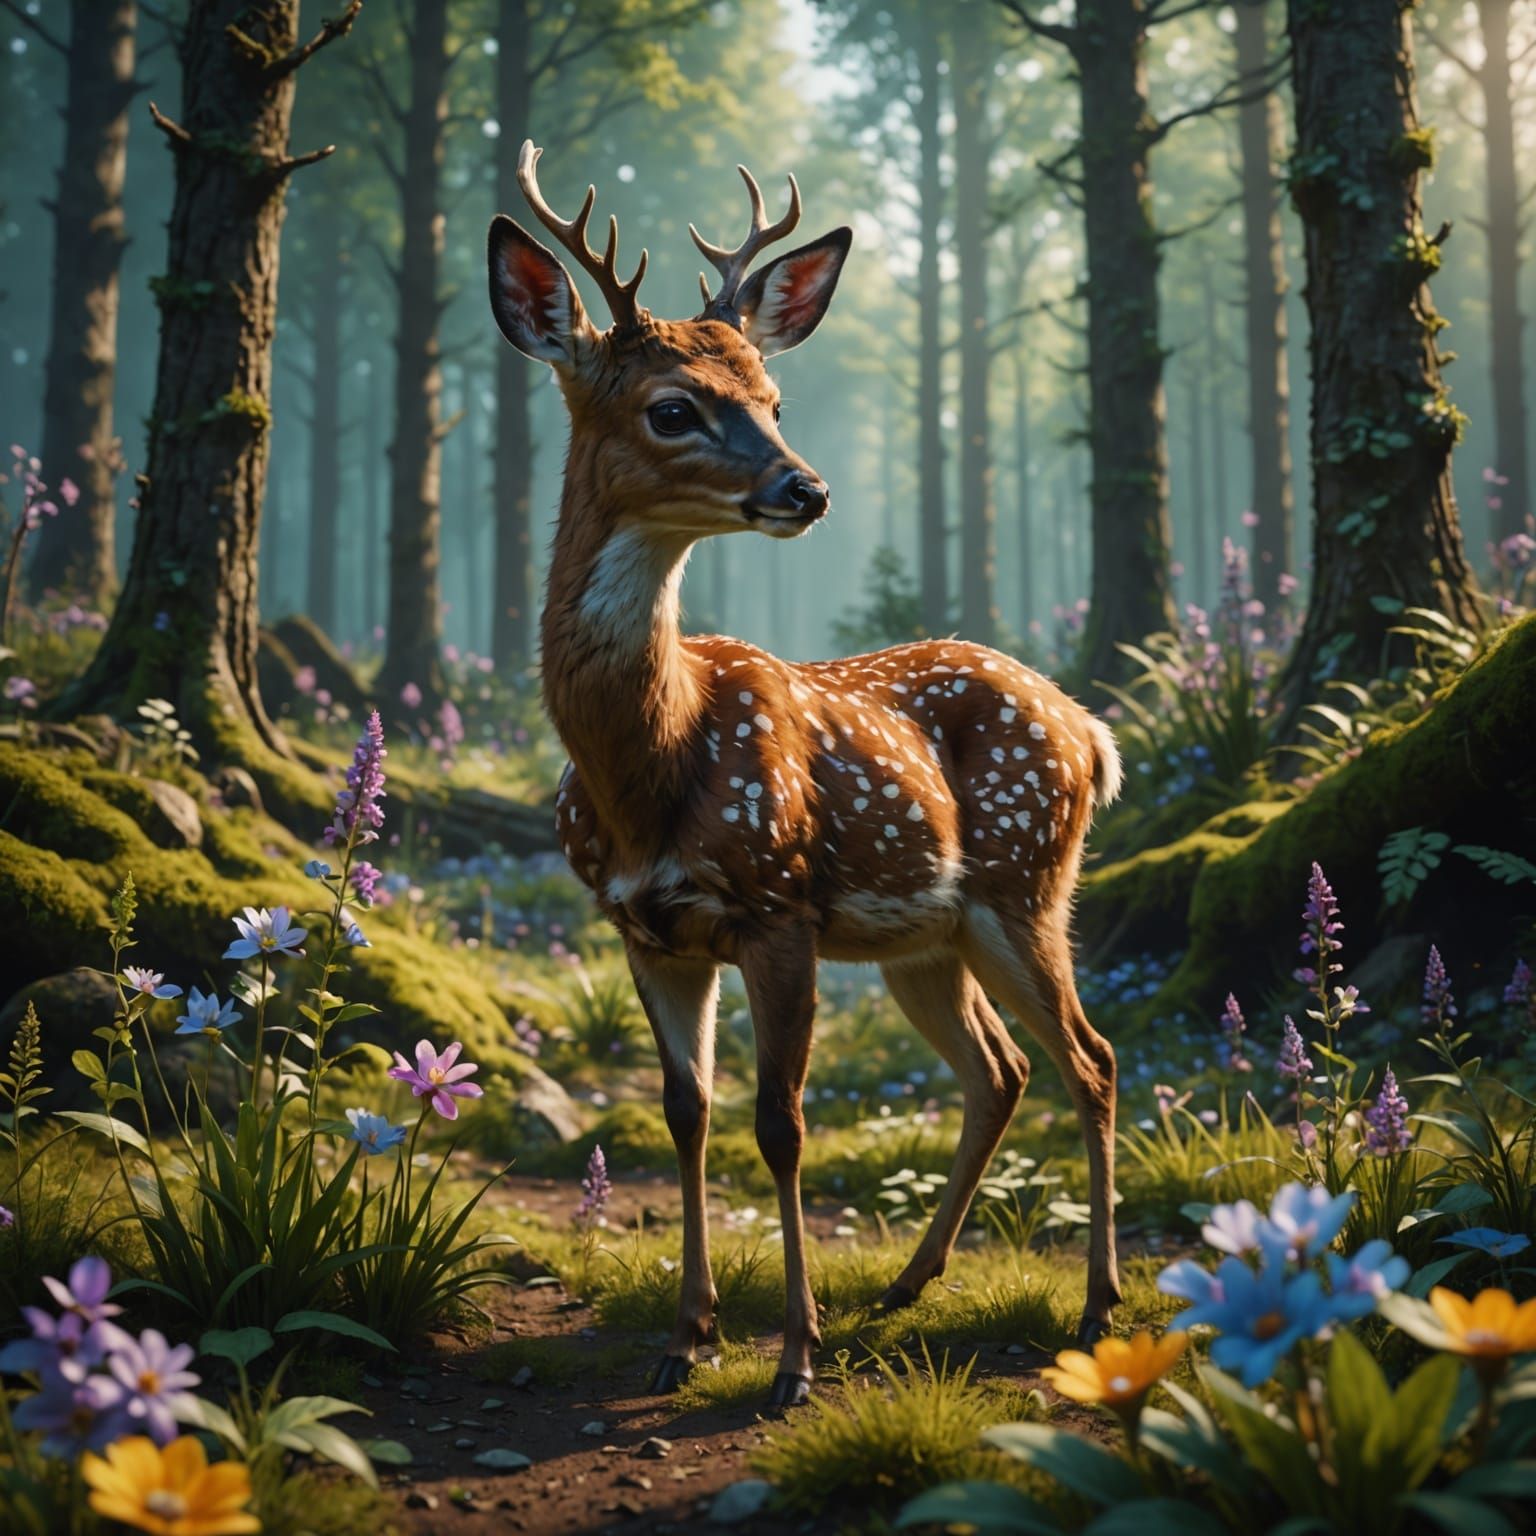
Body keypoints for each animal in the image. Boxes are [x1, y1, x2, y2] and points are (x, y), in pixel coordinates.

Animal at [486, 141, 1124, 1409]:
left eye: (773, 400)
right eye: (672, 407)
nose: (807, 489)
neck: (648, 772)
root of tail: (1091, 729)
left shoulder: (777, 904)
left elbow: (779, 1126)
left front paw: (793, 1357)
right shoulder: (646, 930)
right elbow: (686, 1113)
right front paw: (688, 1333)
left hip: (1026, 883)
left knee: (1091, 1059)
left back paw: (1095, 1302)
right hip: (928, 935)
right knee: (1000, 1069)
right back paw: (909, 1282)